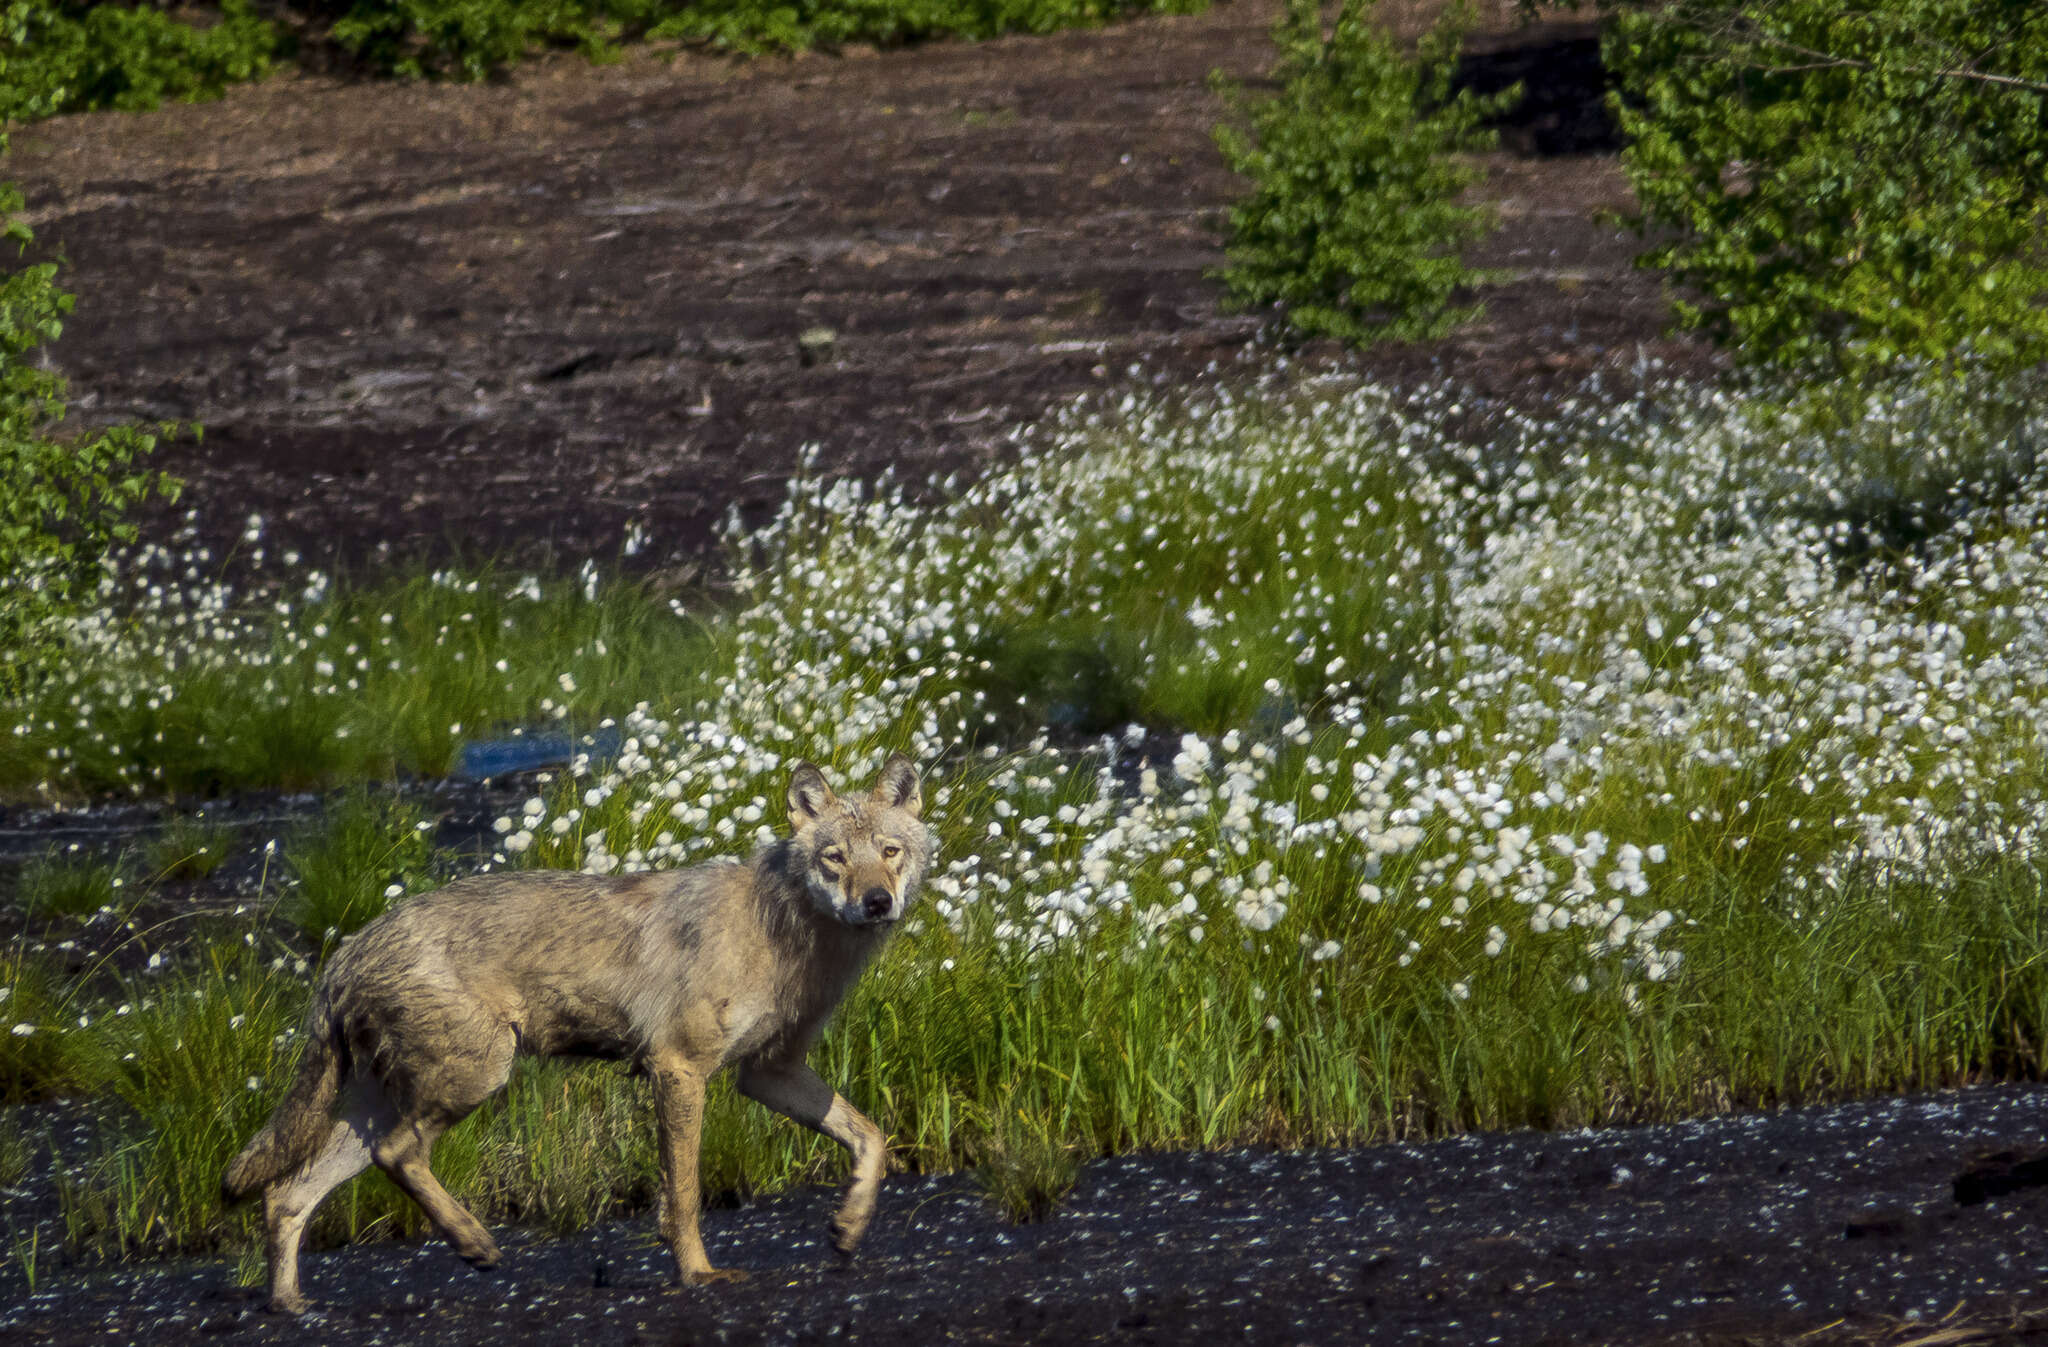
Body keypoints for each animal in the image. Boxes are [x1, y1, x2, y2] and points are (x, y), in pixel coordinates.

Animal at [222, 753, 929, 1310]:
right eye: (835, 859)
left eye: (889, 854)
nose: (877, 902)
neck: (791, 937)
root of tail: (348, 950)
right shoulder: (679, 1070)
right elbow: (684, 1196)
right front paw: (698, 1275)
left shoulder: (767, 1074)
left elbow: (872, 1139)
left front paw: (848, 1227)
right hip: (478, 1078)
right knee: (395, 1155)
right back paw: (475, 1244)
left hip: (384, 1106)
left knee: (287, 1196)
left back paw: (290, 1305)